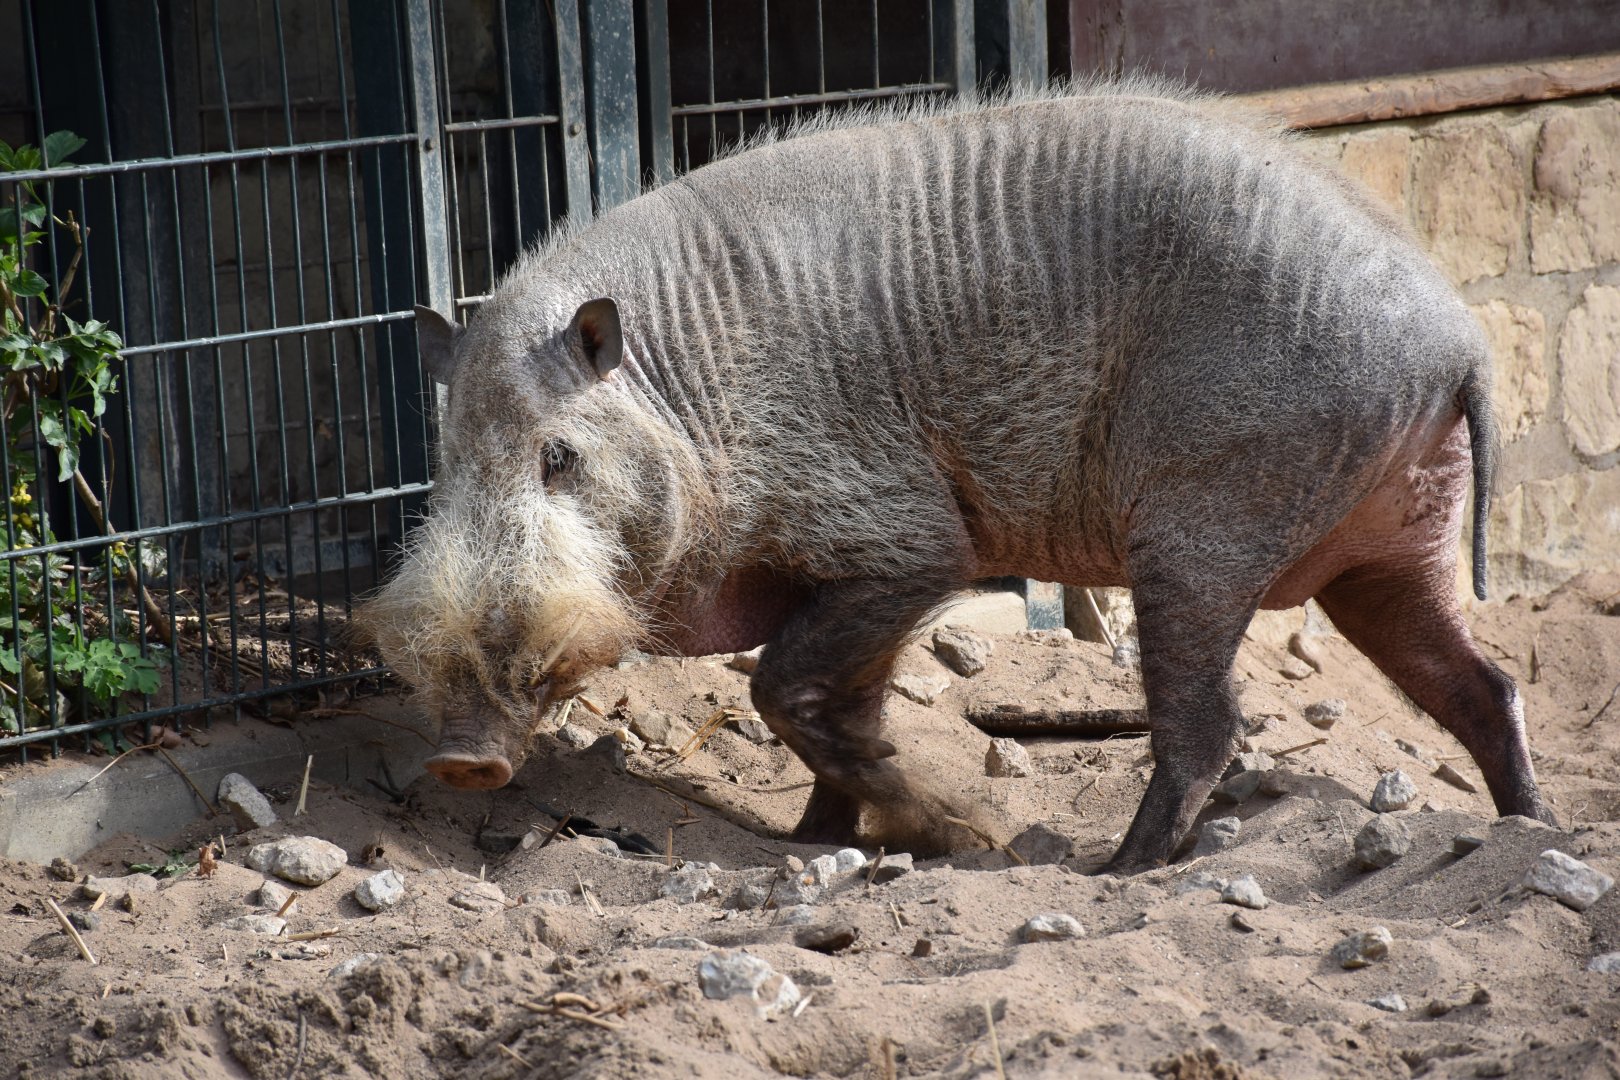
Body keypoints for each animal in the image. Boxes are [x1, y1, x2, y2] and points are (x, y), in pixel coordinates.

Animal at [357, 81, 1555, 873]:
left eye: (557, 455)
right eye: (445, 465)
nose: (461, 760)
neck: (696, 399)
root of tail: (1463, 341)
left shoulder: (908, 541)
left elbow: (783, 687)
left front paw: (955, 835)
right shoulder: (852, 575)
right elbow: (834, 699)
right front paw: (816, 844)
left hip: (1208, 524)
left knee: (1211, 721)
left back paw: (1118, 869)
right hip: (1383, 550)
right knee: (1483, 682)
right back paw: (1526, 829)